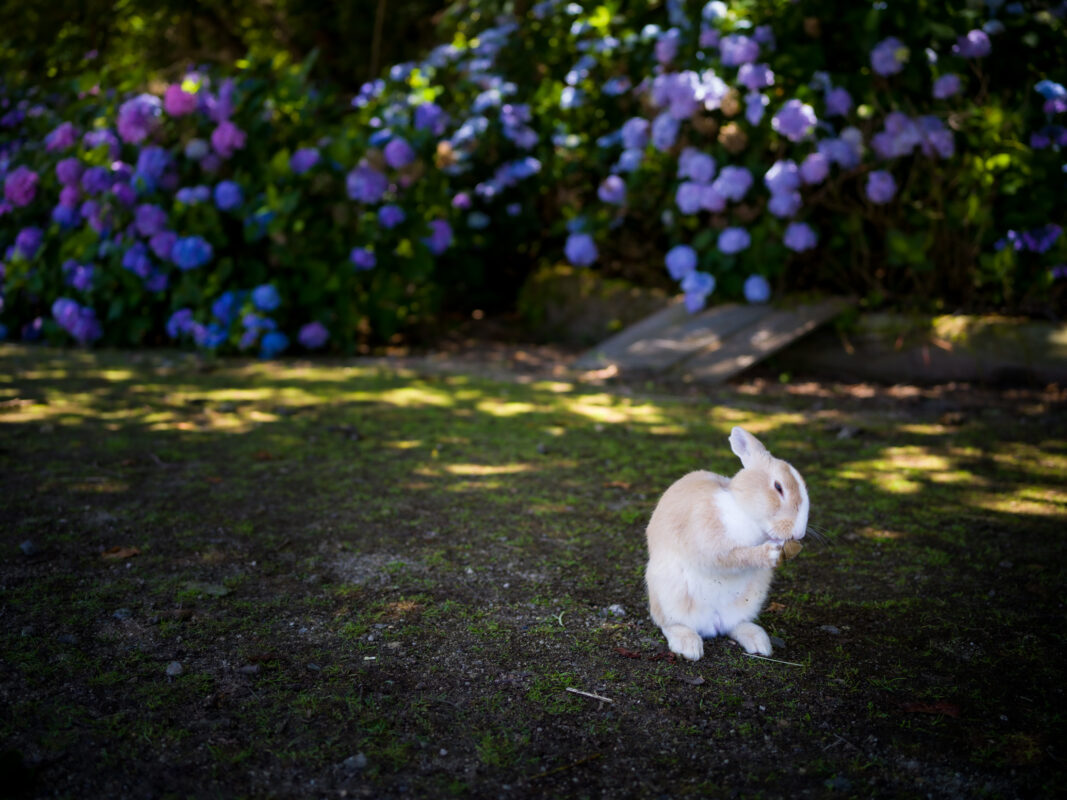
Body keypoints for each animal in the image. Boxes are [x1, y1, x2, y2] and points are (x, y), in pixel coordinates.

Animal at [645, 426, 809, 661]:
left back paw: (759, 643)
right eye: (778, 487)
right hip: (668, 594)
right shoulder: (711, 545)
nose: (799, 532)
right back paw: (689, 647)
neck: (744, 510)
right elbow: (734, 558)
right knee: (670, 624)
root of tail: (712, 624)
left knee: (733, 626)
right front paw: (769, 554)